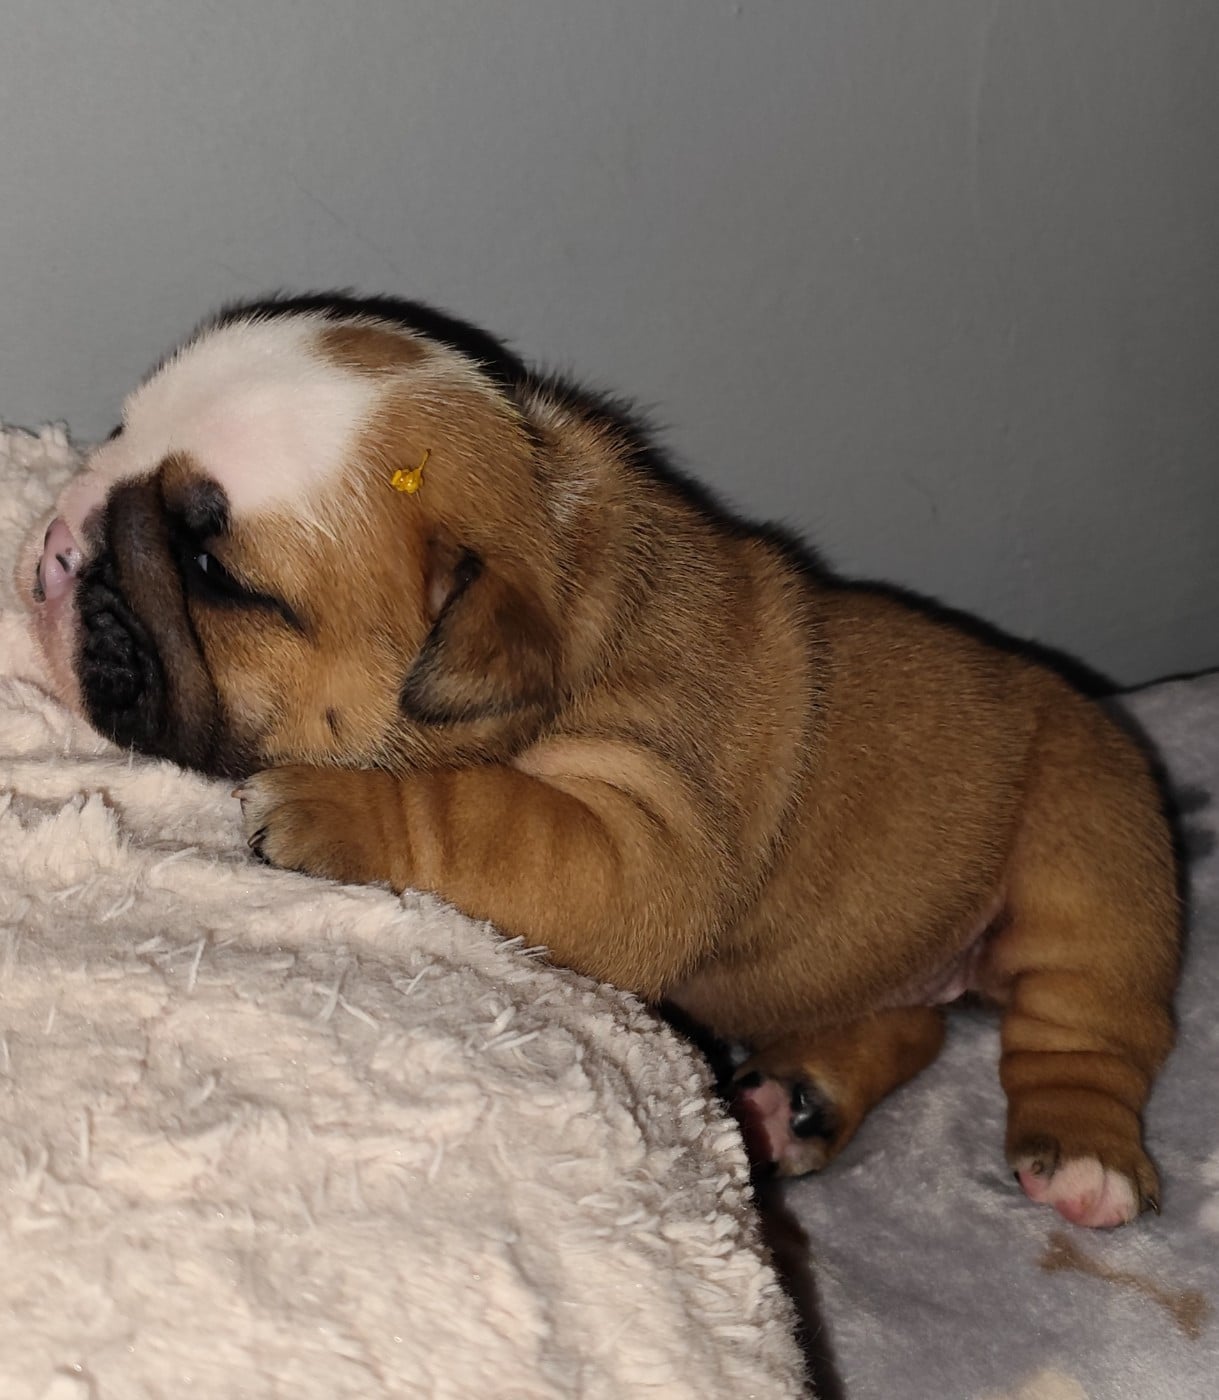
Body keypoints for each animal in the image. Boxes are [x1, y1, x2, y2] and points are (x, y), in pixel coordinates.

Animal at [19, 292, 1180, 1228]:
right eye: (119, 429)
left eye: (211, 569)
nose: (55, 543)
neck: (561, 543)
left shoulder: (644, 838)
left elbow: (479, 815)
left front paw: (328, 811)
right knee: (906, 1025)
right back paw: (791, 1101)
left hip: (1088, 850)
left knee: (1089, 1024)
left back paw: (1082, 1158)